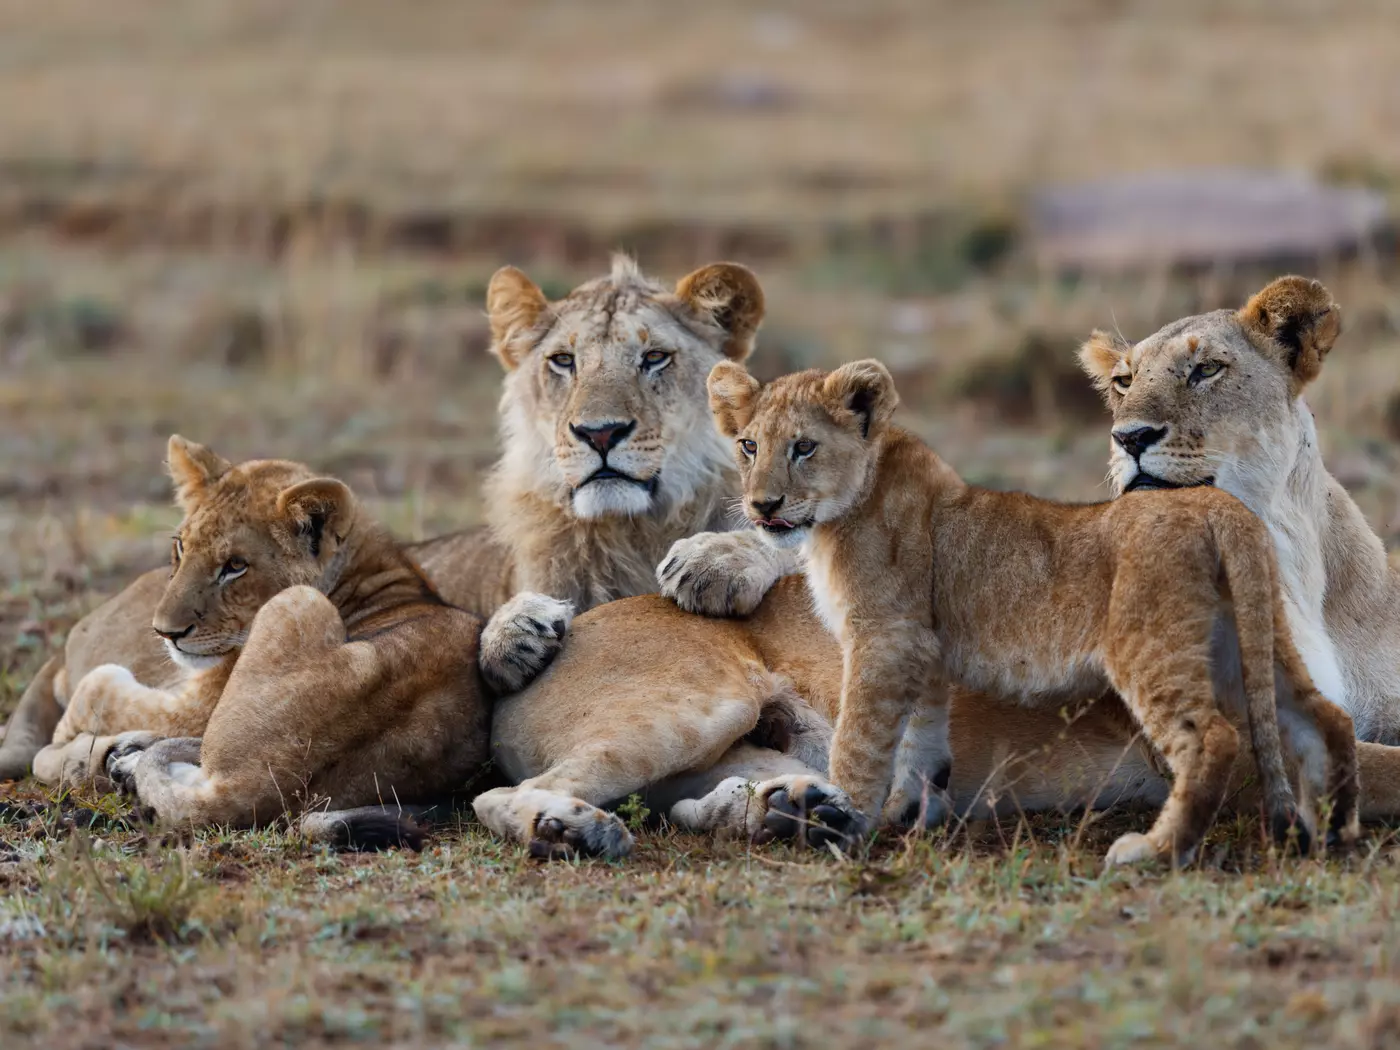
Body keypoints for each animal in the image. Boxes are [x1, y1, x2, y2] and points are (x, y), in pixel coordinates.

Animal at [32, 435, 569, 845]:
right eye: (180, 548)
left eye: (235, 566)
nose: (165, 632)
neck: (372, 571)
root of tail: (246, 787)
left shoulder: (198, 700)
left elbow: (98, 694)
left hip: (297, 604)